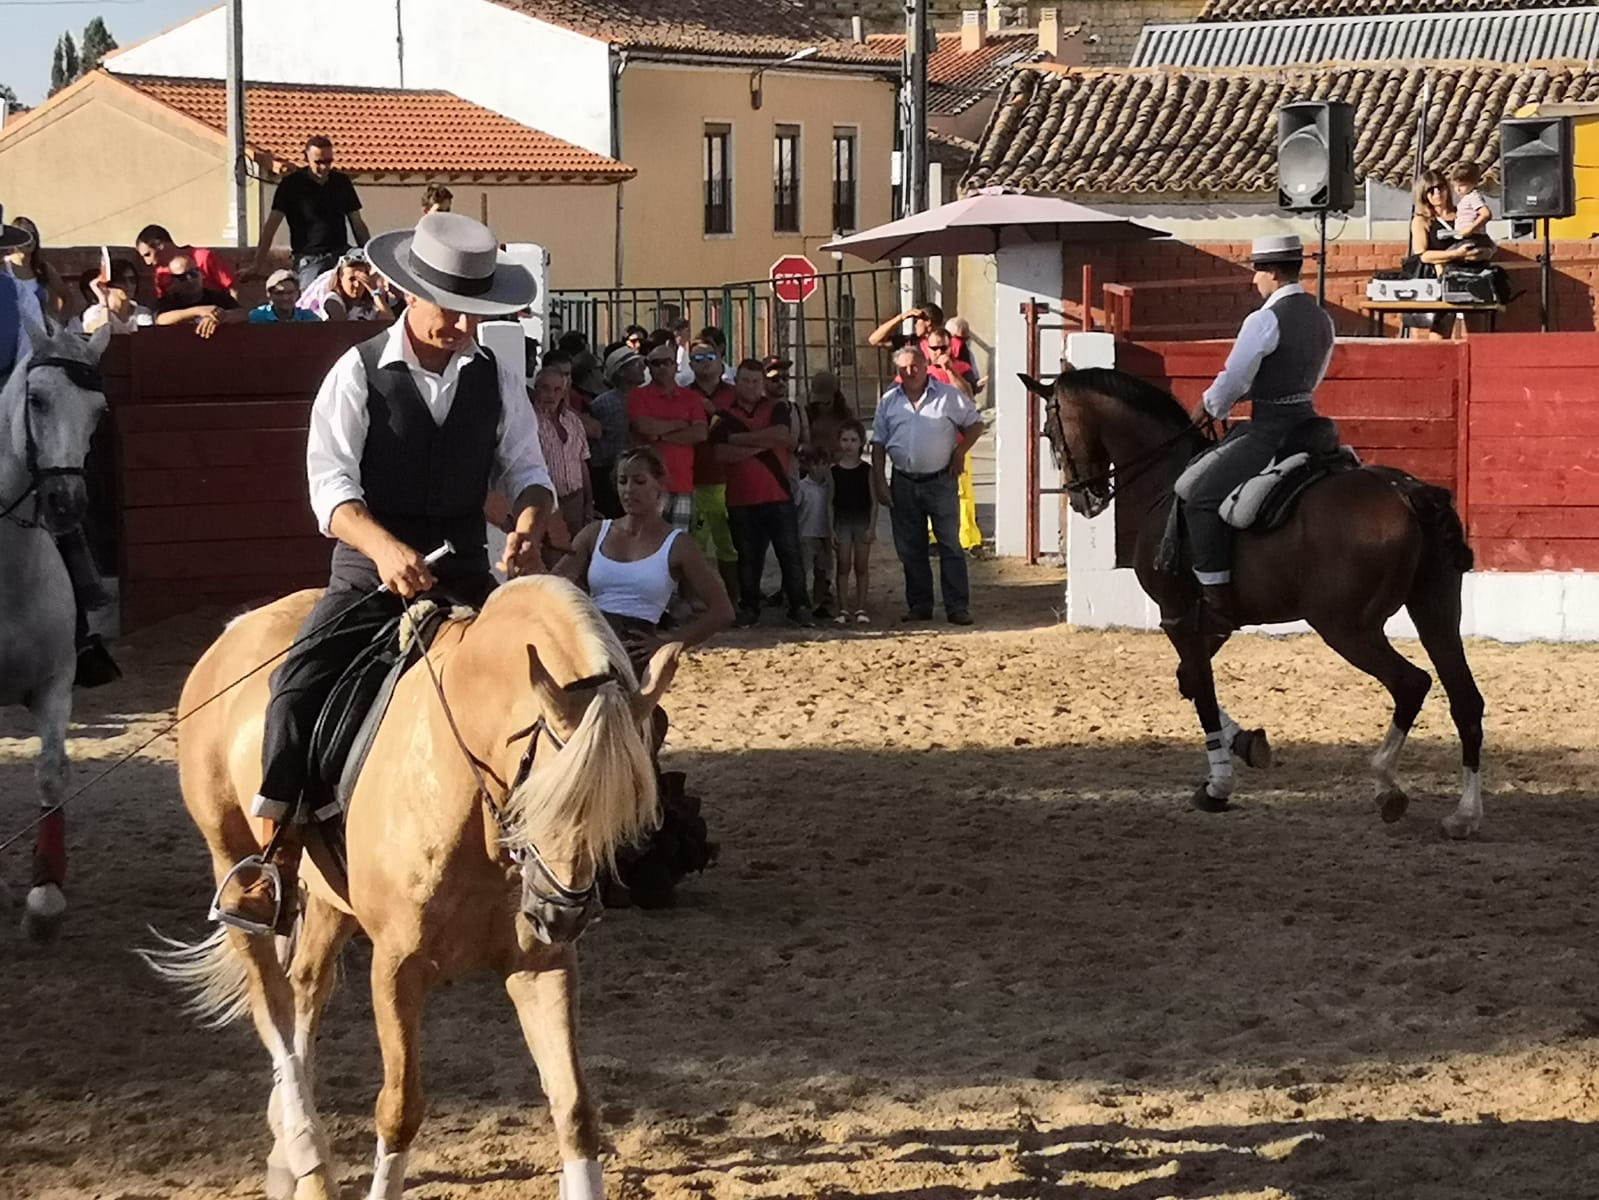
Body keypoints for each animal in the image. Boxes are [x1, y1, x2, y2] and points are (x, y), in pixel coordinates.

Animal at [143, 579, 681, 1196]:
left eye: (622, 807)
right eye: (548, 796)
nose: (559, 917)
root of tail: (237, 630)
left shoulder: (541, 965)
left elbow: (573, 1106)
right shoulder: (397, 967)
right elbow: (400, 1108)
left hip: (328, 901)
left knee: (306, 987)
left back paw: (289, 1155)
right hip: (234, 866)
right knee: (272, 1003)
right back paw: (304, 1147)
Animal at [1023, 371, 1483, 838]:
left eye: (1049, 431)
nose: (1083, 499)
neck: (1165, 477)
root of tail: (1406, 491)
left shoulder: (1177, 617)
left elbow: (1202, 691)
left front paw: (1217, 787)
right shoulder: (1214, 623)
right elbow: (1189, 681)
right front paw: (1248, 744)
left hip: (1347, 628)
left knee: (1412, 683)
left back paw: (1387, 785)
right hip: (1436, 613)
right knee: (1466, 699)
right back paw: (1464, 814)